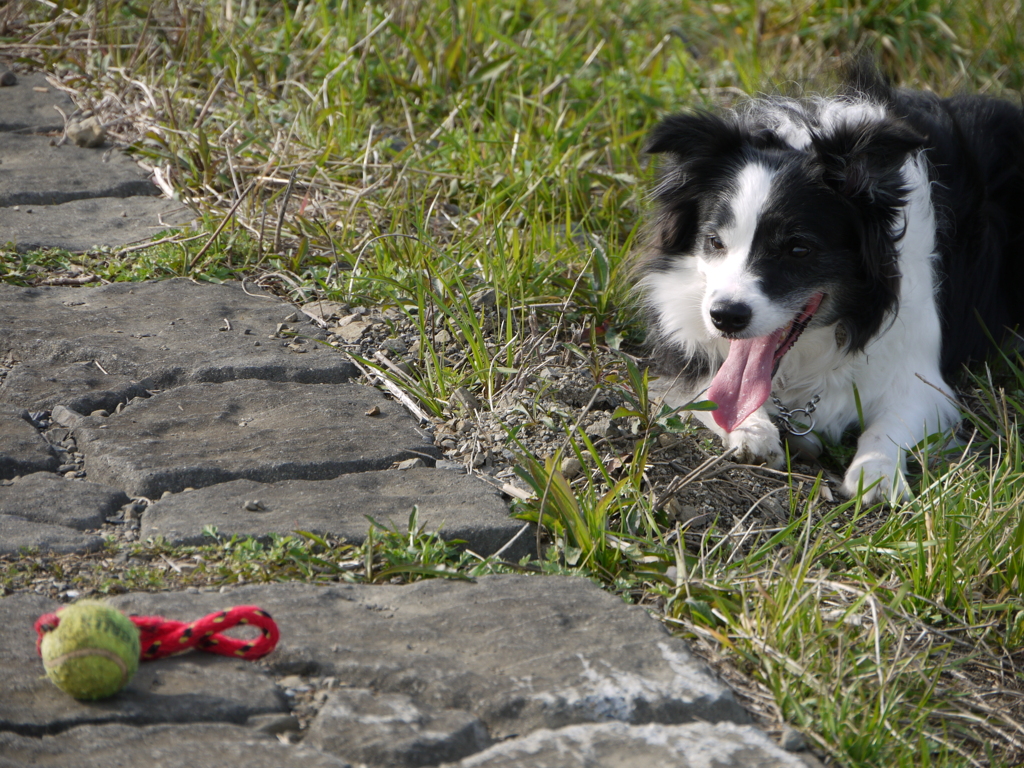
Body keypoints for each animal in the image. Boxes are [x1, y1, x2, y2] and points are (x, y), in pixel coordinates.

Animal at [638, 63, 1024, 501]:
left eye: (798, 249)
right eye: (714, 241)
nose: (726, 317)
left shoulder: (920, 377)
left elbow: (891, 423)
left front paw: (876, 473)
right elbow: (708, 389)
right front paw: (752, 429)